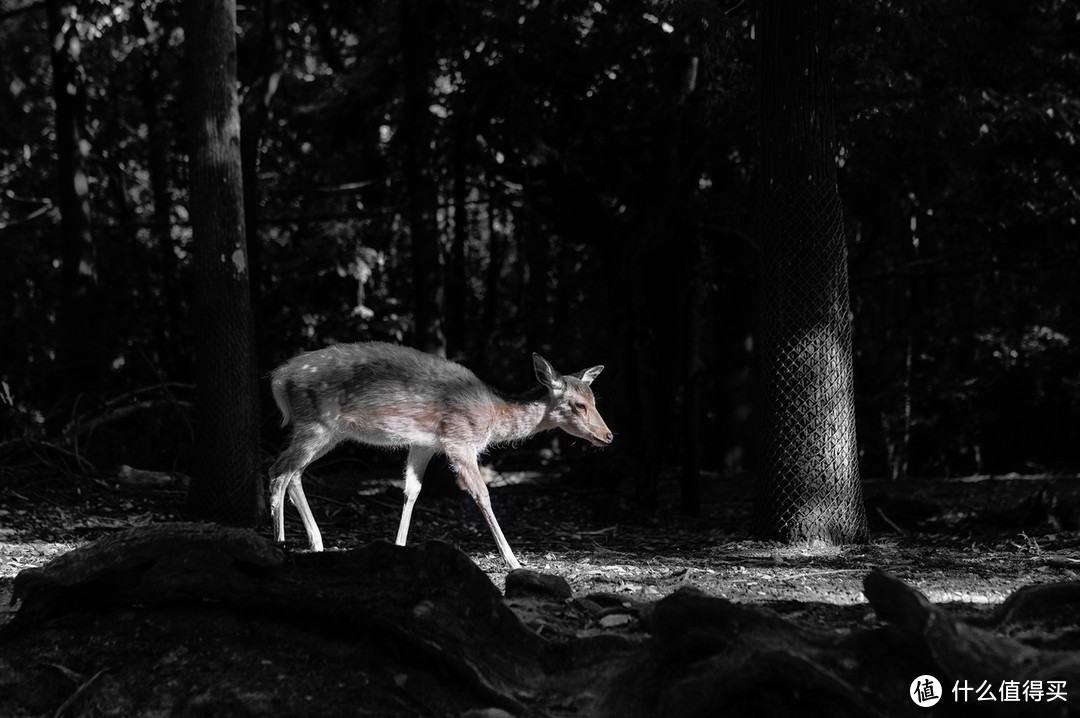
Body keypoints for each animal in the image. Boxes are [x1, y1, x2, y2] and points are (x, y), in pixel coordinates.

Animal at [265, 339, 613, 570]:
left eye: (595, 399)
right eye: (579, 405)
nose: (608, 435)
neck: (493, 415)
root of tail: (278, 380)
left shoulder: (424, 444)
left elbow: (412, 491)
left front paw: (398, 546)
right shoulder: (459, 440)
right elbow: (482, 494)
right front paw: (514, 560)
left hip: (329, 433)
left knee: (294, 472)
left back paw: (317, 542)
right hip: (315, 424)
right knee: (278, 471)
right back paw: (279, 543)